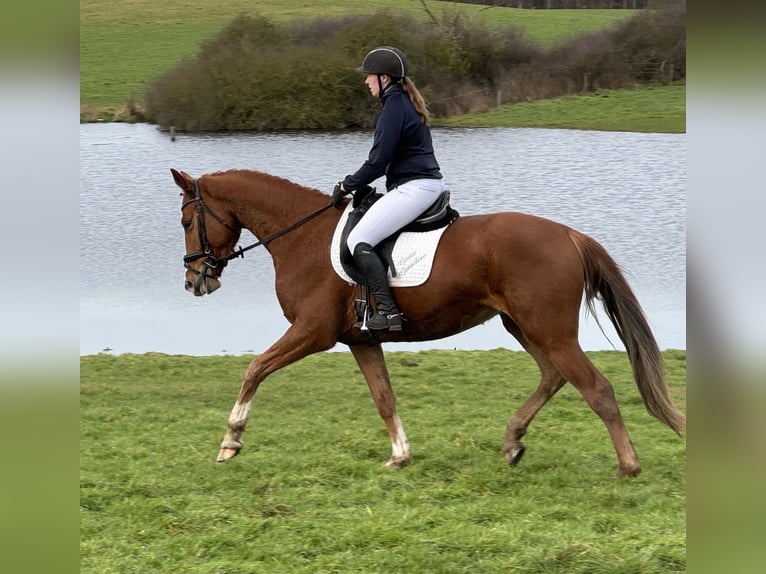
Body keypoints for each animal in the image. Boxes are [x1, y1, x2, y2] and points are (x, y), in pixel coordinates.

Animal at [171, 168, 688, 482]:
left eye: (186, 221)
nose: (194, 281)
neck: (302, 238)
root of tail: (569, 234)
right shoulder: (360, 340)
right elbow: (384, 397)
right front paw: (400, 455)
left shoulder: (312, 333)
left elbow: (254, 369)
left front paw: (230, 442)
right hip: (523, 326)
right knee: (553, 376)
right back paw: (513, 442)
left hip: (549, 329)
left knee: (595, 388)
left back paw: (627, 467)